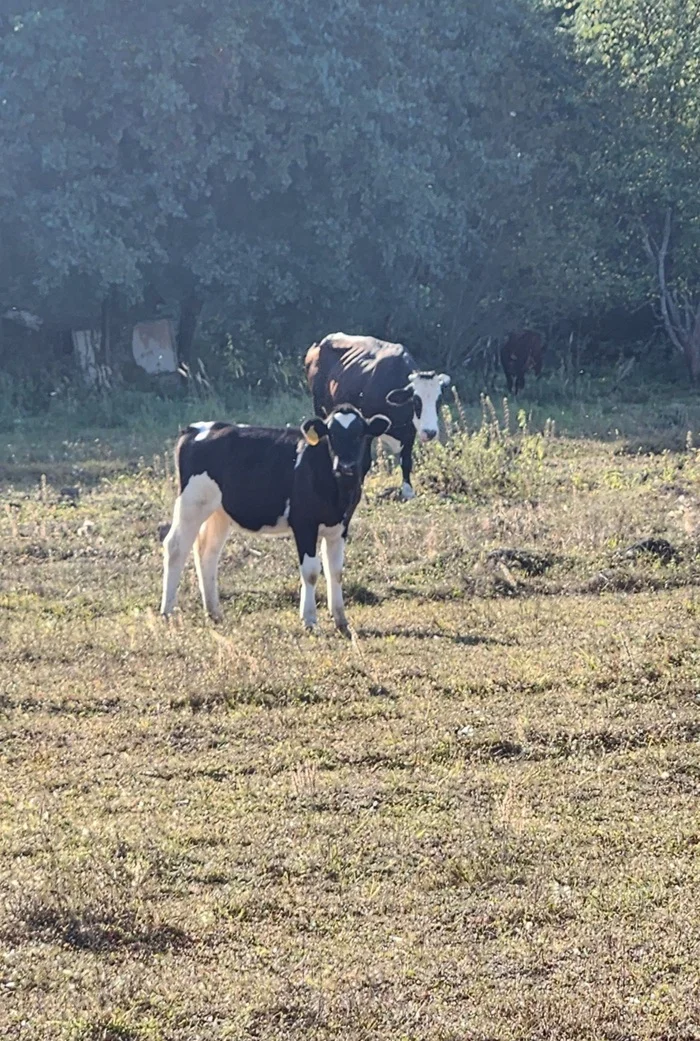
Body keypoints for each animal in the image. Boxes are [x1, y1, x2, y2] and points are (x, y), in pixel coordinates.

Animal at [159, 403, 391, 632]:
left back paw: (214, 613)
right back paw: (167, 613)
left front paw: (341, 620)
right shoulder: (304, 523)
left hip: (219, 512)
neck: (337, 491)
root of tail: (196, 428)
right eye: (331, 434)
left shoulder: (341, 526)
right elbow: (311, 571)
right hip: (191, 503)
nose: (345, 466)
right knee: (175, 547)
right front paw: (309, 619)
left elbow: (336, 570)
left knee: (208, 553)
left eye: (360, 434)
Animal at [304, 331, 447, 497]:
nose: (430, 432)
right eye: (416, 401)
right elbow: (365, 462)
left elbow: (406, 461)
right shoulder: (366, 428)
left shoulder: (410, 430)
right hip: (319, 407)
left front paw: (408, 491)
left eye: (438, 401)